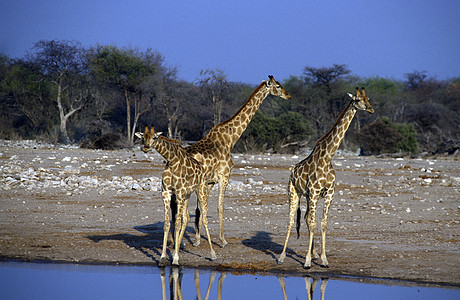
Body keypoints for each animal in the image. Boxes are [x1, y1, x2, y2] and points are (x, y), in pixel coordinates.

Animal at [136, 126, 217, 264]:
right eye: (143, 137)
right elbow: (167, 224)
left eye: (154, 137)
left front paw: (175, 259)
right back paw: (177, 248)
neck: (172, 161)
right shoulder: (166, 193)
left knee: (204, 219)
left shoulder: (179, 193)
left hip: (201, 190)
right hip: (187, 195)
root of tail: (201, 167)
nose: (146, 147)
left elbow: (177, 224)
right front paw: (163, 257)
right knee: (186, 218)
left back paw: (212, 254)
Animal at [276, 88, 374, 268]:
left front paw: (323, 259)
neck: (328, 157)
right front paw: (307, 261)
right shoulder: (315, 192)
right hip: (293, 193)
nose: (371, 109)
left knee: (306, 218)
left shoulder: (329, 193)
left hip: (307, 197)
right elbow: (314, 223)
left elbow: (322, 224)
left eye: (367, 98)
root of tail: (292, 170)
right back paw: (281, 256)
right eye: (358, 99)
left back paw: (313, 253)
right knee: (291, 221)